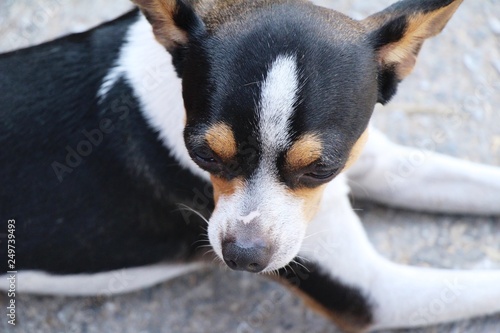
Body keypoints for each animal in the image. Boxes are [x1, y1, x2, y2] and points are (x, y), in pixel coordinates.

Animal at [0, 0, 500, 330]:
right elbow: (486, 285)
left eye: (321, 169)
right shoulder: (375, 292)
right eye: (203, 155)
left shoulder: (376, 162)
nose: (242, 256)